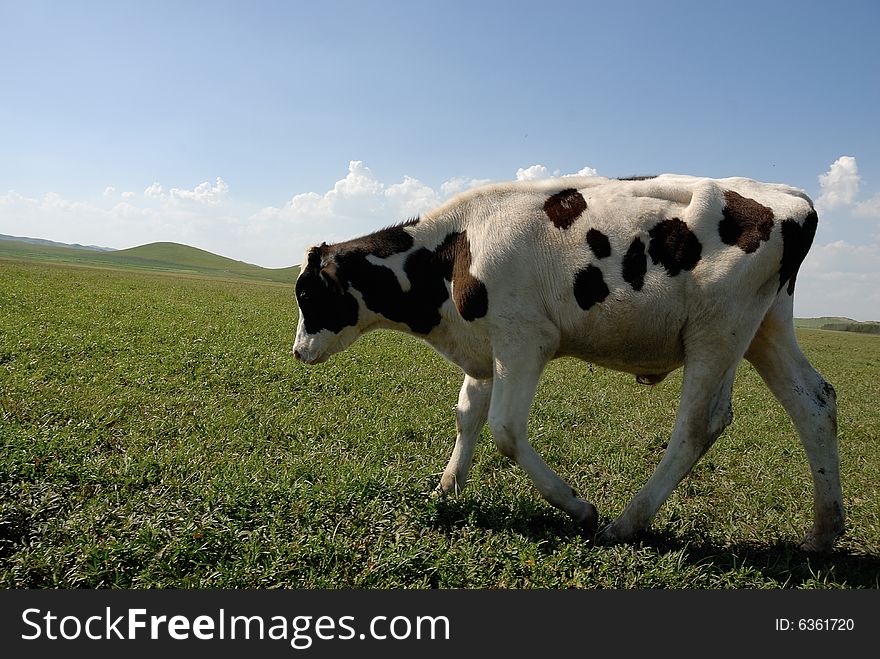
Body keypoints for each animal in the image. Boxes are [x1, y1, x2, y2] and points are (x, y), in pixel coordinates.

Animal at [290, 174, 844, 552]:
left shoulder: (523, 339)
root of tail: (790, 196)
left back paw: (626, 523)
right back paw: (824, 531)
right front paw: (446, 489)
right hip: (765, 325)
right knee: (815, 402)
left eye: (306, 294)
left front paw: (578, 507)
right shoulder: (485, 348)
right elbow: (467, 416)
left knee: (699, 425)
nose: (297, 351)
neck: (454, 250)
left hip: (716, 330)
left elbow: (505, 429)